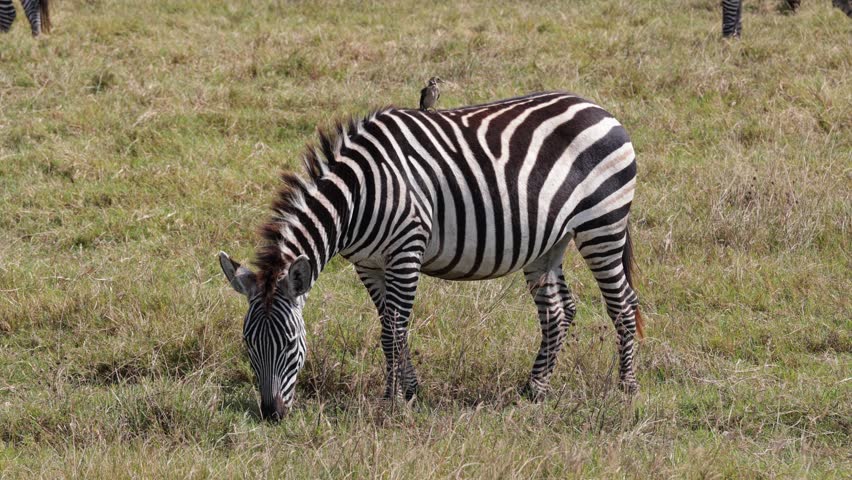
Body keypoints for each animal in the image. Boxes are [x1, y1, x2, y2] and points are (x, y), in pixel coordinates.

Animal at [219, 91, 645, 420]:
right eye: (248, 344)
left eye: (291, 344)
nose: (271, 414)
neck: (358, 196)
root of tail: (600, 109)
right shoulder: (368, 265)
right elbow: (387, 324)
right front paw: (409, 390)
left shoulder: (406, 250)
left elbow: (393, 330)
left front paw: (392, 399)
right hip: (549, 241)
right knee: (558, 312)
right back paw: (534, 389)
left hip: (602, 223)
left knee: (623, 304)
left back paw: (626, 388)